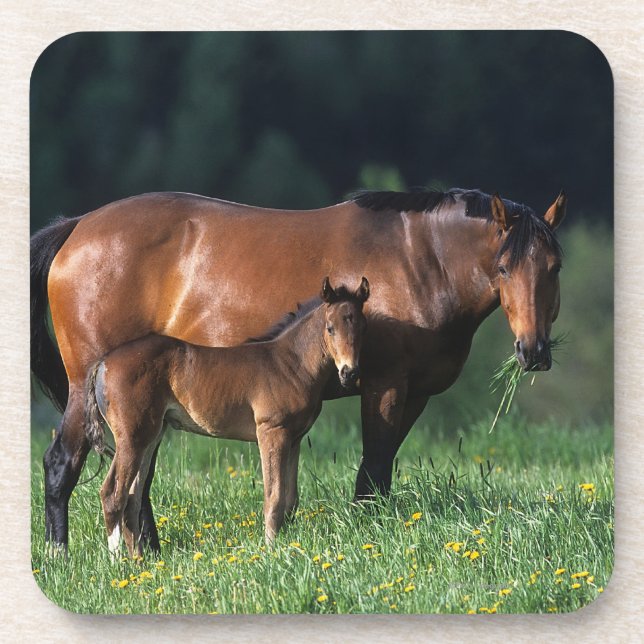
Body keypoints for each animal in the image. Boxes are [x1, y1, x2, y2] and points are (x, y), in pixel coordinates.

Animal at [83, 277, 369, 555]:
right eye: (330, 328)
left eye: (362, 327)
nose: (349, 373)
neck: (291, 363)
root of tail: (103, 362)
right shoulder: (271, 432)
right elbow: (274, 497)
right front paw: (271, 550)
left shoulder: (294, 439)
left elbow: (290, 499)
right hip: (132, 437)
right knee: (113, 494)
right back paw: (117, 561)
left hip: (151, 435)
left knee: (132, 496)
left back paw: (140, 562)